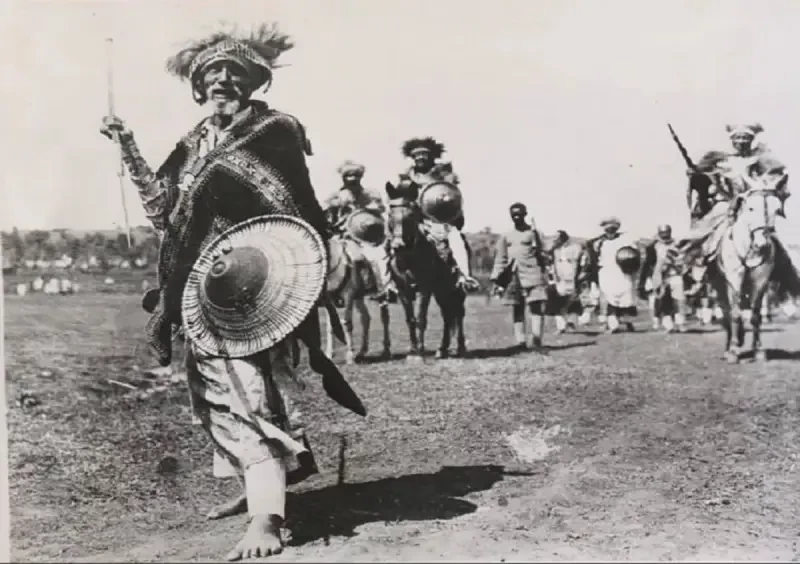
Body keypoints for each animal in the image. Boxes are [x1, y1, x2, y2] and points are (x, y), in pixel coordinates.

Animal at [321, 213, 392, 365]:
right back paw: (362, 352)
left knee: (385, 317)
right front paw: (330, 354)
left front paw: (349, 356)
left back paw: (386, 350)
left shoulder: (347, 297)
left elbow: (347, 323)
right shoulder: (329, 300)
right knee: (365, 318)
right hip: (359, 296)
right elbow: (331, 326)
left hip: (381, 292)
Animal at [384, 181, 469, 361]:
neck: (409, 258)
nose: (398, 245)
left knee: (458, 313)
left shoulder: (424, 289)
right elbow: (410, 319)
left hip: (456, 290)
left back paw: (460, 347)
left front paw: (420, 351)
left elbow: (420, 318)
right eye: (389, 213)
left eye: (411, 215)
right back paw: (442, 349)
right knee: (447, 315)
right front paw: (412, 350)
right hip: (441, 291)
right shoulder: (403, 290)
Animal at [711, 185, 783, 363]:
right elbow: (735, 314)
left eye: (777, 210)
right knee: (727, 313)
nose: (763, 245)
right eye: (750, 208)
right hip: (719, 287)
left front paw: (759, 350)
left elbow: (756, 315)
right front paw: (733, 351)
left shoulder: (761, 281)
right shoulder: (733, 279)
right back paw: (729, 347)